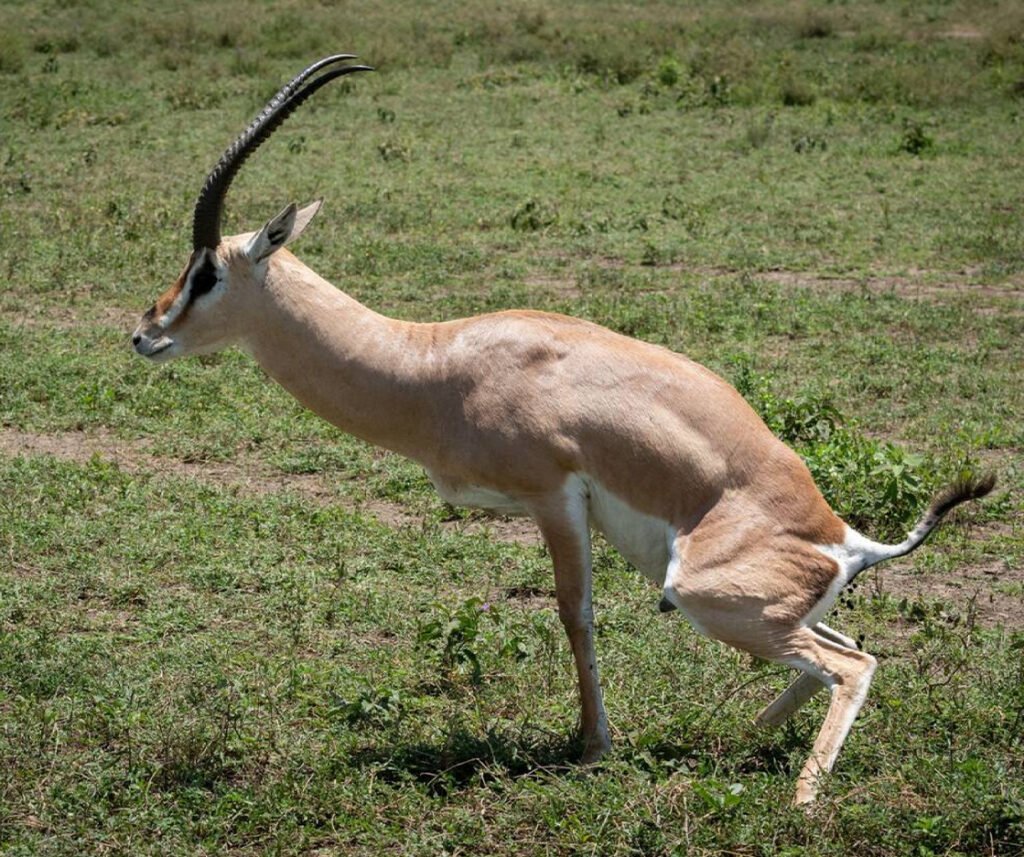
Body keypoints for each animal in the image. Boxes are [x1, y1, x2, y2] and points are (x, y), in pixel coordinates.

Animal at [131, 55, 995, 805]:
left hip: (697, 590)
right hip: (753, 603)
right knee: (839, 651)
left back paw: (803, 799)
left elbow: (574, 614)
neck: (436, 363)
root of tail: (843, 536)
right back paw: (745, 736)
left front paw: (593, 747)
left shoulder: (554, 497)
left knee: (854, 664)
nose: (145, 333)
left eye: (207, 271)